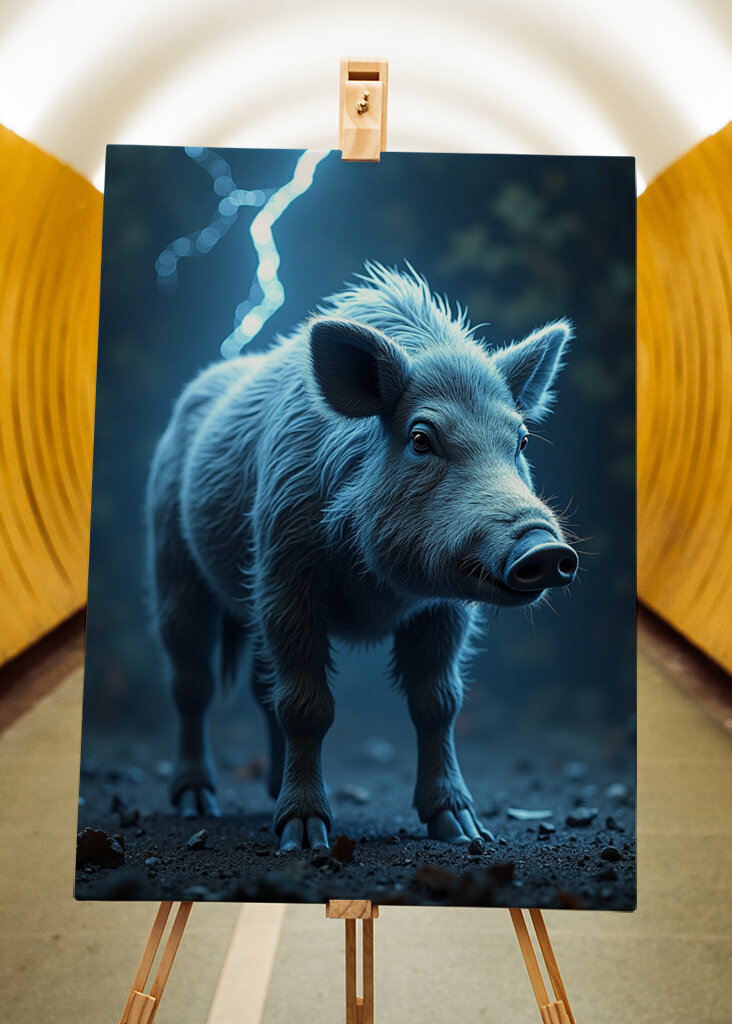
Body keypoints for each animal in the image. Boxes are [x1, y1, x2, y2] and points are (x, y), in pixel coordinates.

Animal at [146, 263, 578, 851]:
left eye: (523, 440)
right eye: (421, 439)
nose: (546, 546)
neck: (381, 588)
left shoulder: (445, 608)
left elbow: (438, 702)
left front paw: (466, 832)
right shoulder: (282, 572)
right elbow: (306, 705)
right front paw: (305, 840)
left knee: (260, 687)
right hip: (173, 563)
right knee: (192, 682)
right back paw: (197, 805)